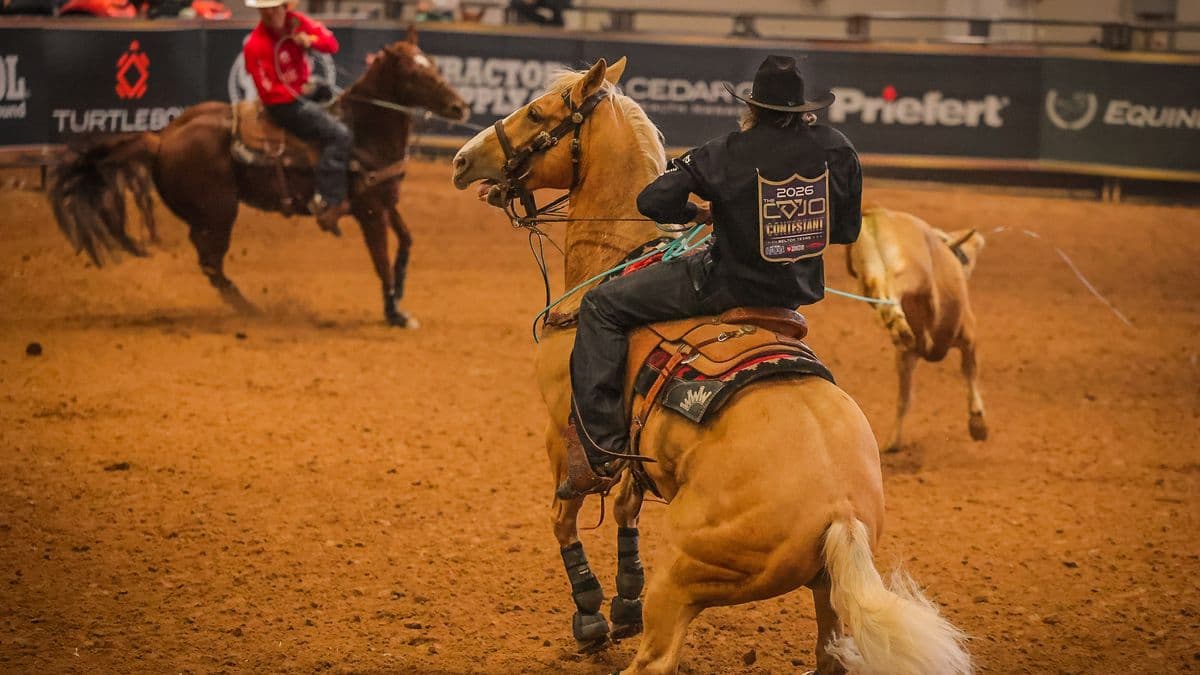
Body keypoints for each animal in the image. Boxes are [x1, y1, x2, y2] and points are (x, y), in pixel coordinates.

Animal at [47, 28, 468, 327]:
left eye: (433, 63)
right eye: (413, 72)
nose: (460, 106)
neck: (364, 129)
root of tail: (161, 138)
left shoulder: (385, 202)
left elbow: (406, 243)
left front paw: (400, 296)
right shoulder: (368, 211)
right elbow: (380, 259)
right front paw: (393, 313)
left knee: (208, 260)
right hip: (219, 212)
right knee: (210, 262)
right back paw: (251, 309)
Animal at [451, 57, 972, 674]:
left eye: (536, 112)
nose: (462, 160)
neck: (616, 258)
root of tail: (841, 515)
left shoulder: (564, 429)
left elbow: (564, 516)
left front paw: (591, 613)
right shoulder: (636, 452)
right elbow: (626, 505)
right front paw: (622, 600)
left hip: (684, 574)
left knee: (653, 660)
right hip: (828, 601)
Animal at [845, 204, 988, 452]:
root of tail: (877, 211)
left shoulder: (905, 357)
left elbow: (904, 397)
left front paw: (893, 440)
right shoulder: (969, 334)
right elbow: (970, 371)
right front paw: (977, 422)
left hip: (868, 271)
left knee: (877, 291)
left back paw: (895, 325)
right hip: (911, 272)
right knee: (893, 289)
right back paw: (897, 322)